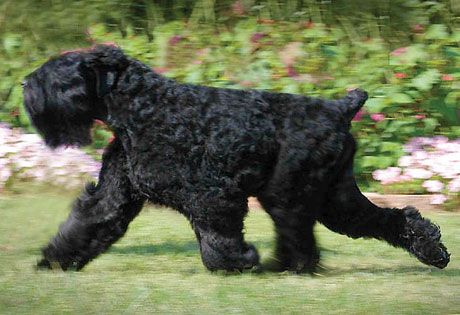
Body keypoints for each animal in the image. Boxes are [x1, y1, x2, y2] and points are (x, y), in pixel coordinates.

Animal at [22, 45, 450, 272]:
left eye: (56, 73)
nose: (26, 83)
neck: (142, 108)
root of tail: (339, 108)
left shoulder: (212, 193)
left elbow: (217, 233)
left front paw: (237, 261)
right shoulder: (115, 193)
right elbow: (93, 220)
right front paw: (55, 261)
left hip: (290, 193)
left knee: (298, 230)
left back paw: (287, 267)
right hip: (335, 197)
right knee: (389, 218)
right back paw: (433, 251)